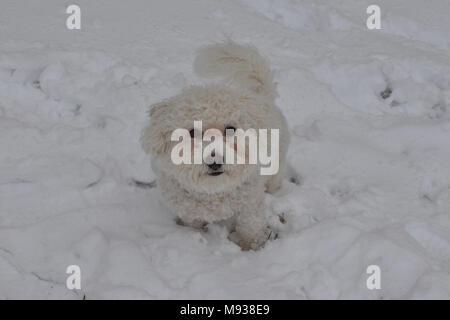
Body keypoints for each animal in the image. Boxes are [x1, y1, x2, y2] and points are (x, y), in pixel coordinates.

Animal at [141, 40, 290, 250]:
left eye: (231, 129)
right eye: (192, 132)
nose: (215, 161)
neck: (213, 191)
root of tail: (262, 95)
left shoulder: (250, 203)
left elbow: (250, 226)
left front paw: (249, 245)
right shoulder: (189, 211)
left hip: (276, 166)